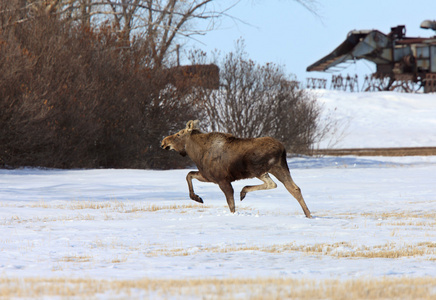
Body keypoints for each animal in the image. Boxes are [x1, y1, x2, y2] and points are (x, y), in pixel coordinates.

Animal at [162, 120, 312, 218]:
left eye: (179, 134)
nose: (164, 141)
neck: (196, 154)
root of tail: (283, 149)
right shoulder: (208, 176)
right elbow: (189, 174)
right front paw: (197, 198)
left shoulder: (222, 180)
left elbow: (231, 204)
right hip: (278, 168)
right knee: (294, 188)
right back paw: (308, 215)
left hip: (261, 169)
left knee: (274, 184)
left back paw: (244, 191)